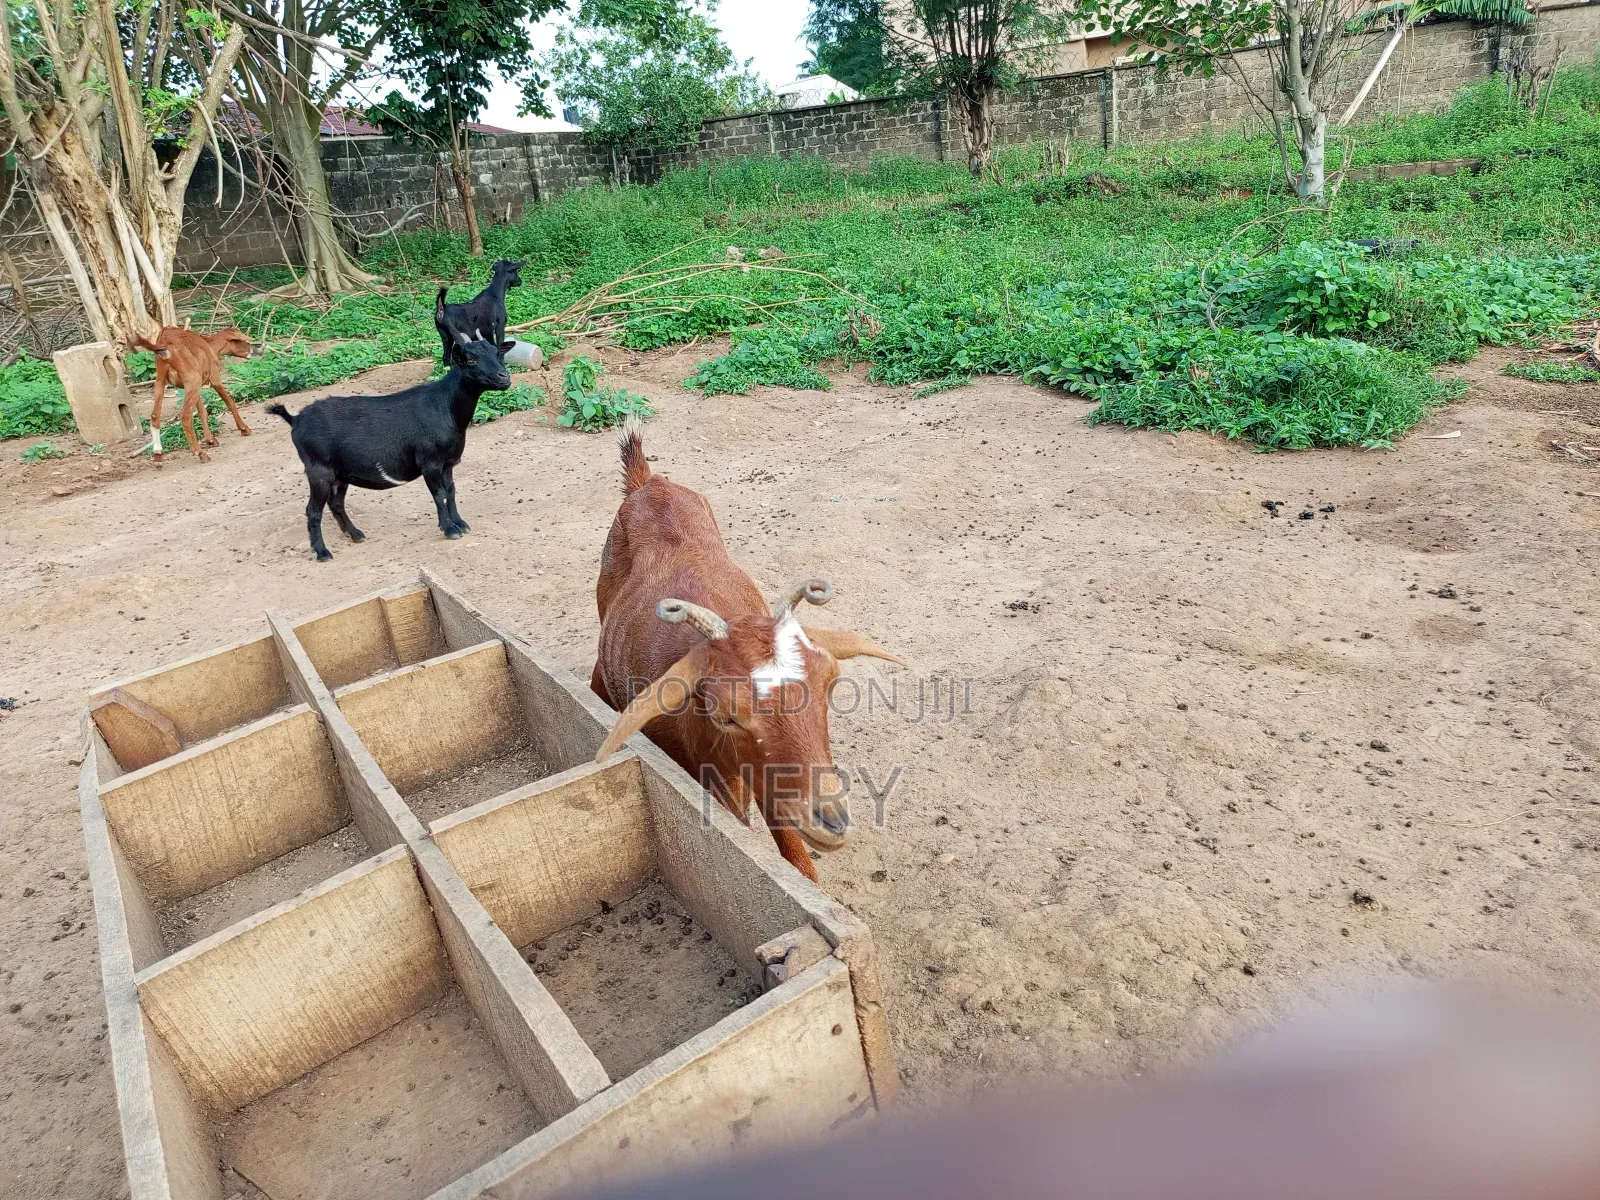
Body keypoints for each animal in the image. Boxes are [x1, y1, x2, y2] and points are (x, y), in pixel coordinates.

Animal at [129, 327, 253, 462]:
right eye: (243, 341)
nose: (255, 351)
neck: (209, 345)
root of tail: (163, 342)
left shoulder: (193, 386)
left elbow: (202, 411)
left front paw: (210, 440)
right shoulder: (213, 377)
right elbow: (230, 403)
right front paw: (244, 428)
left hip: (161, 380)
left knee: (155, 415)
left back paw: (158, 453)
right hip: (193, 379)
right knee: (185, 416)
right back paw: (200, 453)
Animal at [267, 326, 511, 561]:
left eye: (497, 353)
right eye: (470, 359)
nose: (505, 377)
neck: (445, 407)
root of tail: (295, 419)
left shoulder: (448, 463)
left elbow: (451, 491)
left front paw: (460, 523)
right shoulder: (429, 462)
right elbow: (439, 494)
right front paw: (450, 529)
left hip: (340, 473)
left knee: (336, 503)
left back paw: (356, 534)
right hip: (318, 470)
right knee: (313, 510)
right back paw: (322, 552)